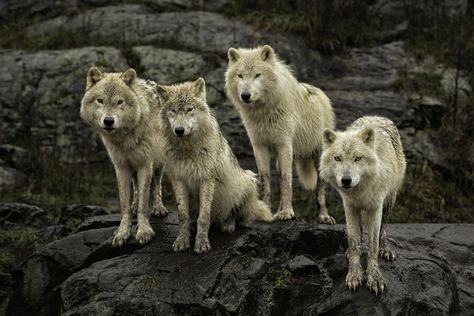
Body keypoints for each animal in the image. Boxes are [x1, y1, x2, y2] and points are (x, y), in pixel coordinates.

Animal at [81, 66, 168, 247]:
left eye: (119, 102)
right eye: (100, 100)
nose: (108, 121)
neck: (125, 139)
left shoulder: (145, 164)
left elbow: (144, 203)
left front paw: (144, 231)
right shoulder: (121, 166)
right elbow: (124, 203)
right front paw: (122, 232)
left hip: (159, 163)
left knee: (157, 185)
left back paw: (158, 208)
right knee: (135, 187)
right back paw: (134, 205)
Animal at [156, 77, 272, 254]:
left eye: (189, 109)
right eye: (173, 111)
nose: (179, 130)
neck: (187, 149)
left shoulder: (207, 179)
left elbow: (204, 216)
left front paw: (202, 243)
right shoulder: (178, 179)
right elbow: (183, 215)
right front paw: (182, 240)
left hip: (248, 179)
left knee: (236, 216)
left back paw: (228, 224)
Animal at [224, 44, 336, 223]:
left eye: (257, 75)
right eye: (240, 75)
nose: (245, 95)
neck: (263, 111)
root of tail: (320, 92)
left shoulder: (285, 146)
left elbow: (286, 181)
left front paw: (288, 213)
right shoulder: (259, 147)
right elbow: (265, 180)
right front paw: (266, 211)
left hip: (318, 157)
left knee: (320, 190)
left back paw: (324, 216)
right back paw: (277, 212)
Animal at [318, 115, 408, 294]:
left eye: (357, 158)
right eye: (337, 158)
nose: (346, 180)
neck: (361, 191)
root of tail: (376, 116)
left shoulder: (376, 207)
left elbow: (373, 245)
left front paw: (374, 278)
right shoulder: (349, 206)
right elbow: (354, 242)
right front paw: (354, 274)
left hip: (389, 201)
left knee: (384, 230)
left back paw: (385, 250)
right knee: (358, 233)